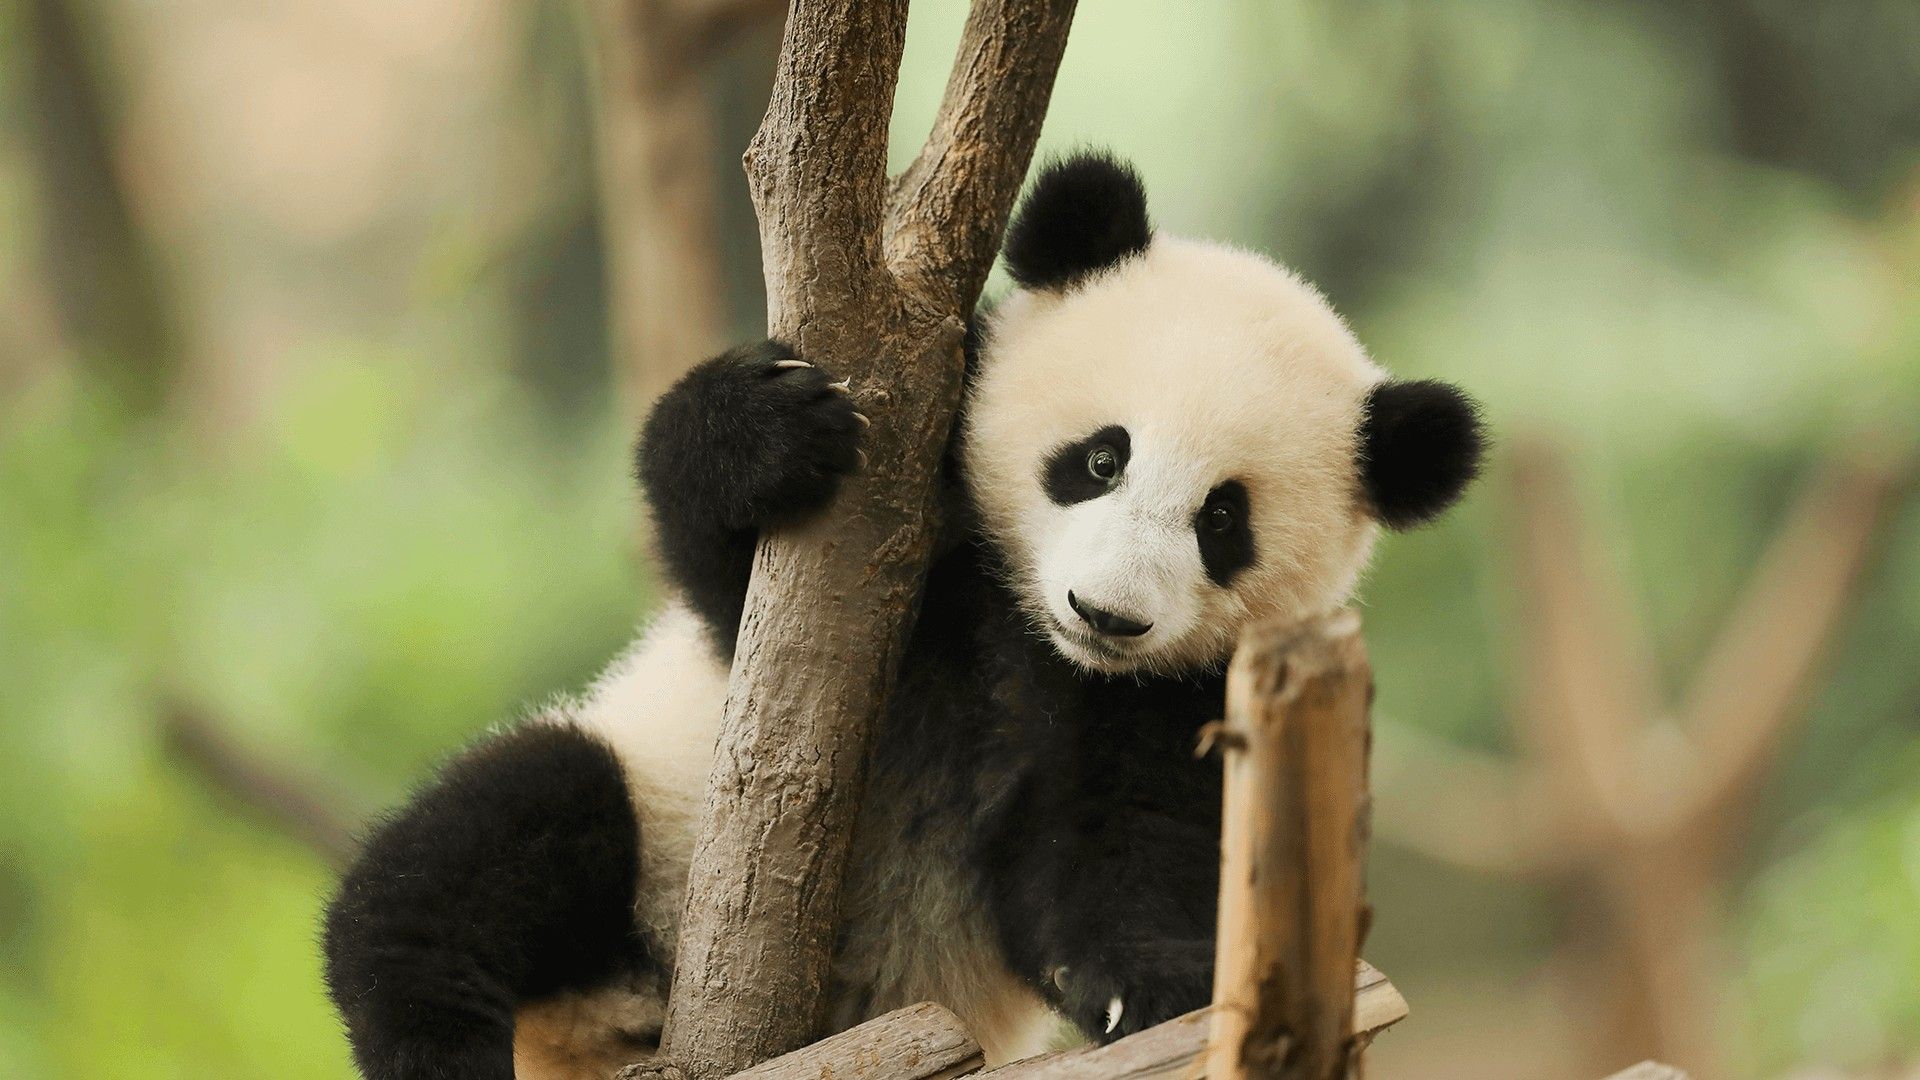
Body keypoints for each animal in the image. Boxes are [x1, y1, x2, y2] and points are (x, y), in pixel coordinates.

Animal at [321, 151, 1485, 1080]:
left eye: (1223, 521)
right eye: (1100, 458)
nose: (1106, 613)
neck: (1030, 639)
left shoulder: (1164, 698)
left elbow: (1107, 849)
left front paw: (1151, 988)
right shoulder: (891, 560)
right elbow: (728, 586)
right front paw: (763, 430)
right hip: (652, 835)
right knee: (481, 850)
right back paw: (434, 1034)